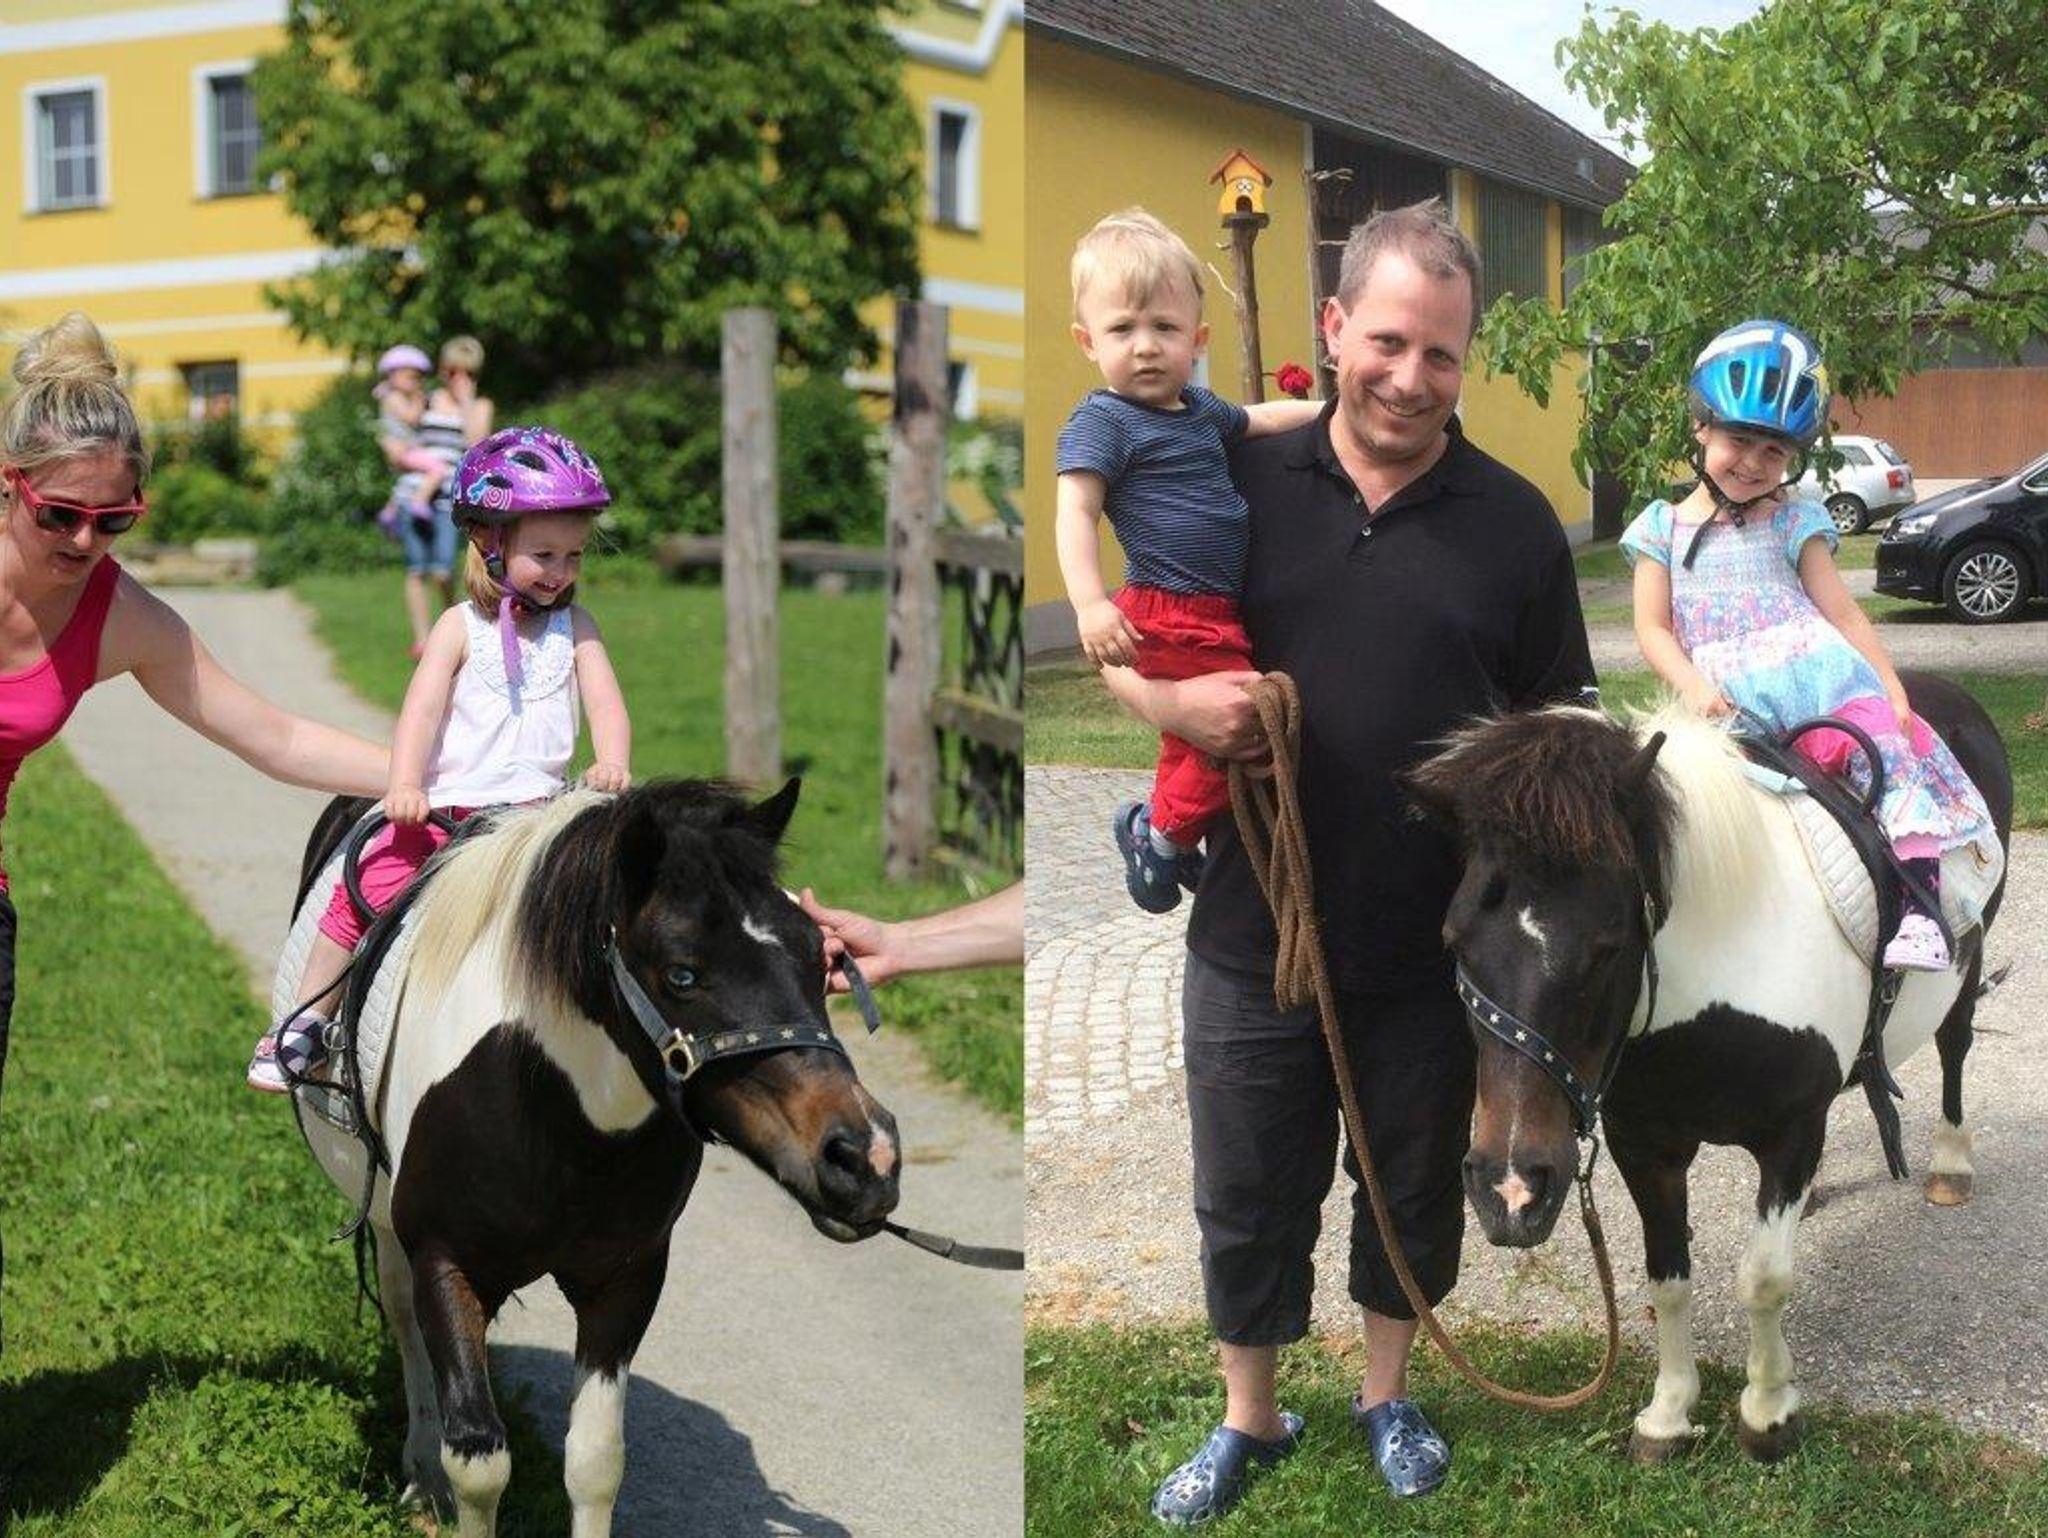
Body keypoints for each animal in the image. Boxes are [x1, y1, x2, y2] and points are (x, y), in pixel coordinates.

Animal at [280, 778, 901, 1537]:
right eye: (682, 974)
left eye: (821, 956)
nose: (864, 1157)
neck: (556, 1117)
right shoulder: (447, 1263)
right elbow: (478, 1461)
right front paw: (440, 1474)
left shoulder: (627, 1279)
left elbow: (596, 1460)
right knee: (405, 1325)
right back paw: (421, 1471)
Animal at [1403, 671, 2011, 1463]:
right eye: (1455, 941)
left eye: (1607, 945)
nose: (1510, 1190)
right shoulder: (1645, 1146)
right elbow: (1668, 1278)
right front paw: (1668, 1414)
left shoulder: (1789, 1135)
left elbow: (1764, 1279)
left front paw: (1767, 1412)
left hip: (1968, 967)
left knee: (1955, 1046)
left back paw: (1950, 1163)